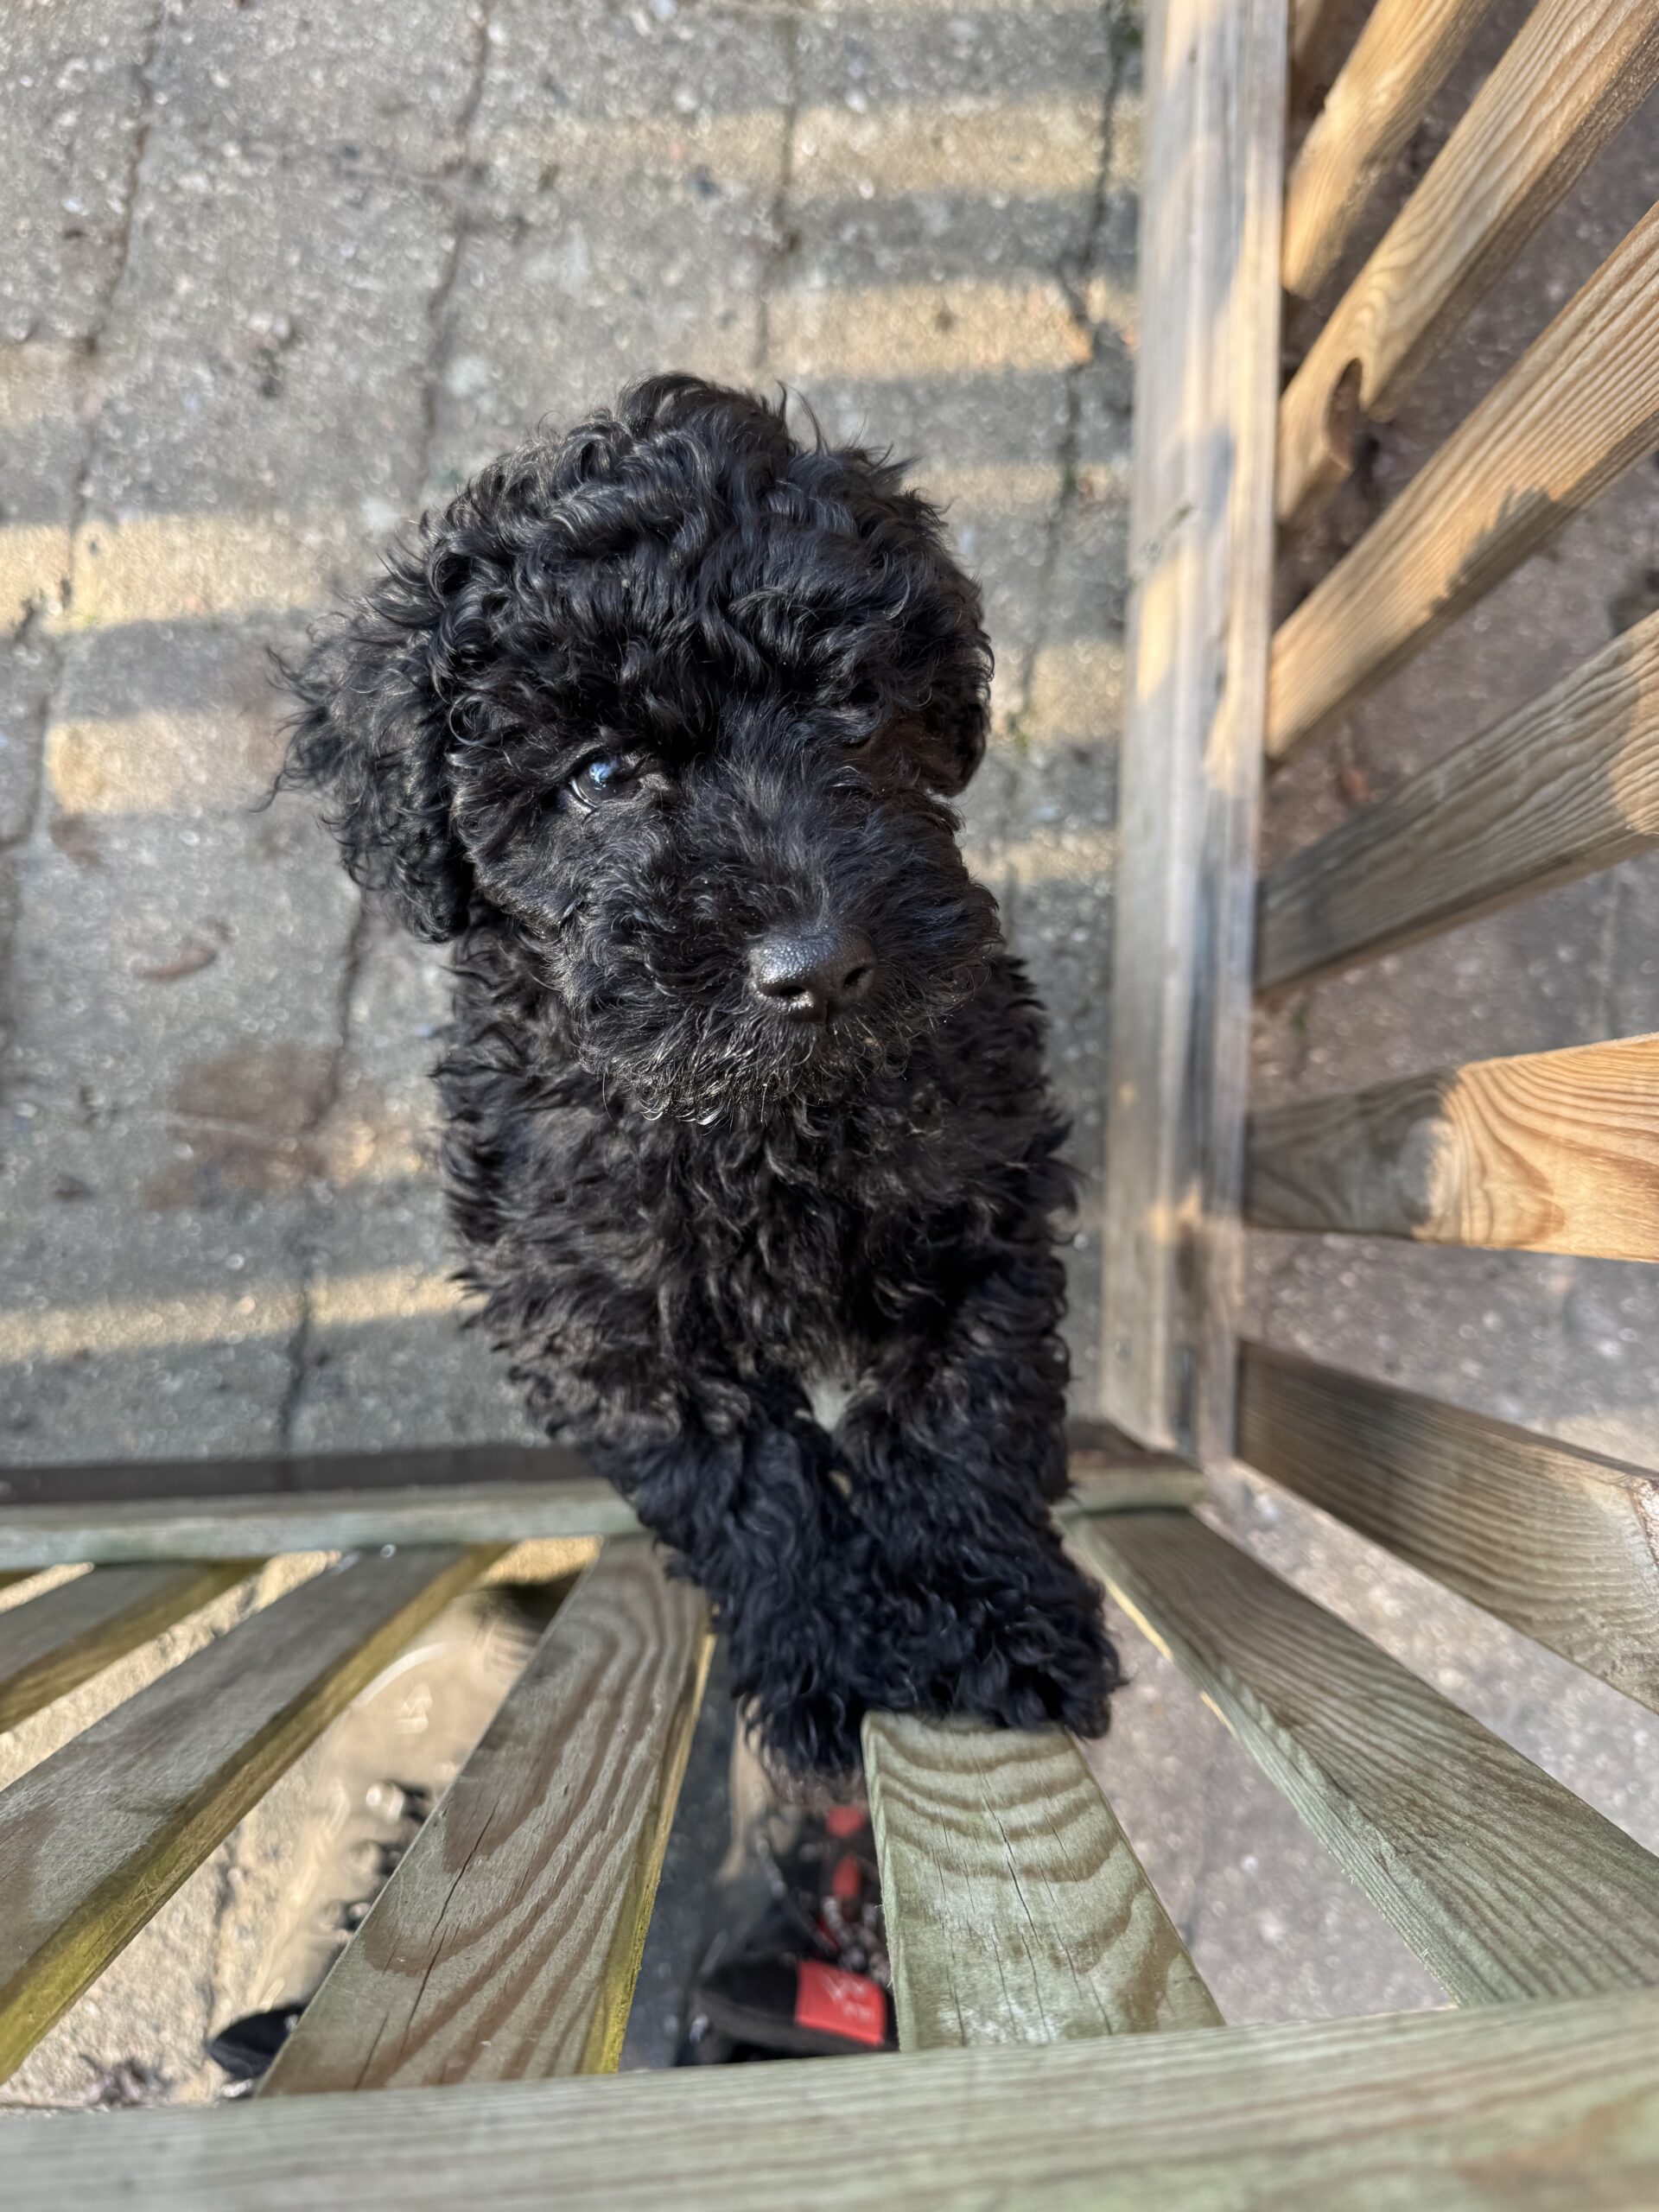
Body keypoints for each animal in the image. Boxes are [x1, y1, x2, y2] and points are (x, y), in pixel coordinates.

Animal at [282, 373, 1118, 1776]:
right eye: (603, 774)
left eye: (857, 707)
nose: (818, 965)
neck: (760, 1123)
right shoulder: (603, 1321)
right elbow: (750, 1496)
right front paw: (830, 1652)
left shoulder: (976, 1200)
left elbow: (964, 1418)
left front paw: (998, 1620)